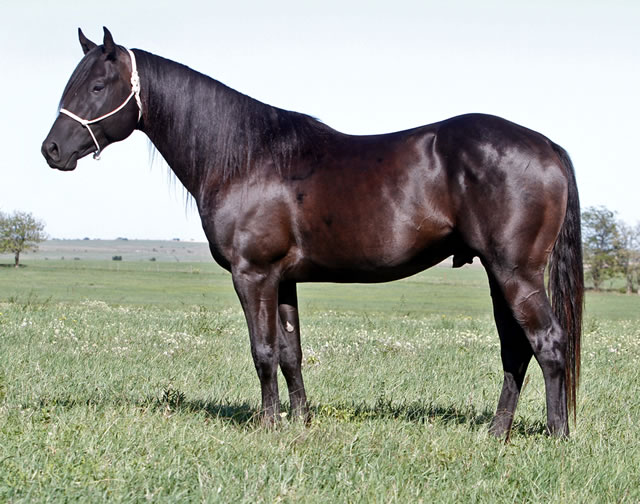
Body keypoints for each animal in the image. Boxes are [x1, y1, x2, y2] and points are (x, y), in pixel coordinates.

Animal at [42, 27, 583, 438]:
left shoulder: (253, 274)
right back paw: (496, 432)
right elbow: (290, 354)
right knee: (517, 349)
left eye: (97, 87)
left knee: (549, 342)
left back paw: (556, 435)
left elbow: (262, 351)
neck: (248, 159)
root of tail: (546, 146)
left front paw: (269, 426)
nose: (51, 150)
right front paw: (301, 422)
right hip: (498, 274)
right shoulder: (284, 281)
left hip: (515, 273)